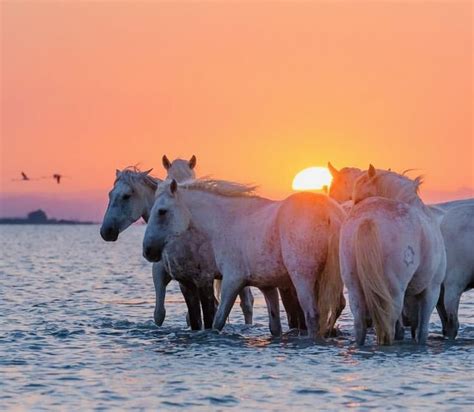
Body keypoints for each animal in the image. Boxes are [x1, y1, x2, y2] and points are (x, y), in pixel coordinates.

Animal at [141, 179, 344, 340]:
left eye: (162, 211)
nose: (147, 250)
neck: (226, 222)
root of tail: (331, 213)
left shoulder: (232, 280)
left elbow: (217, 321)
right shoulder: (268, 286)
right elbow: (274, 327)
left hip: (302, 279)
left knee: (312, 315)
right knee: (337, 307)